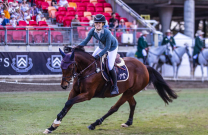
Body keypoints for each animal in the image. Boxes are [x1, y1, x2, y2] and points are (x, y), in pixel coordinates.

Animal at [43, 46, 178, 134]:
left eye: (71, 67)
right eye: (61, 66)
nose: (64, 85)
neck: (87, 70)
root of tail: (144, 66)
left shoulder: (87, 94)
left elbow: (69, 103)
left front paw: (55, 123)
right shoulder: (75, 92)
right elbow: (67, 105)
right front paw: (53, 126)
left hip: (129, 91)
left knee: (114, 108)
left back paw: (95, 124)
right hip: (128, 91)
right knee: (133, 104)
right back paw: (128, 122)